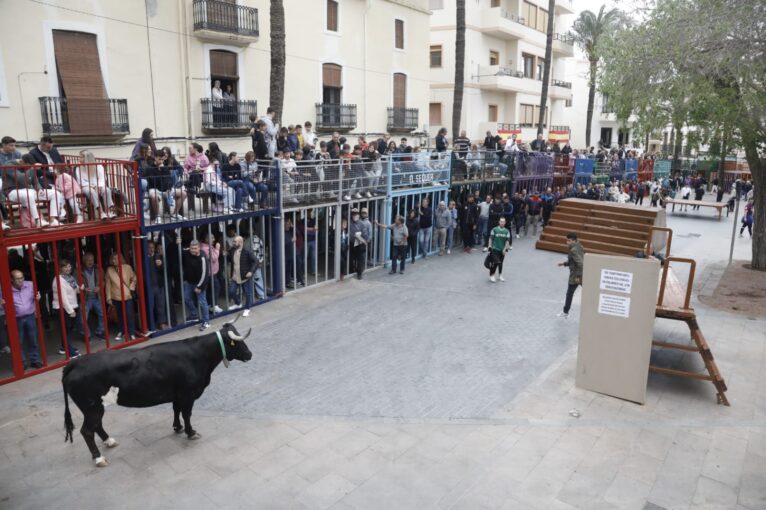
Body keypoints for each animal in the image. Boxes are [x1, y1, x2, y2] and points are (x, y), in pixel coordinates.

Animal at [63, 318, 254, 466]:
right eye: (238, 343)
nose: (250, 354)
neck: (198, 355)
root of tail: (76, 363)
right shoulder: (188, 393)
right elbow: (187, 414)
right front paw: (191, 432)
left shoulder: (177, 393)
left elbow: (176, 410)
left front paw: (177, 427)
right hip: (91, 406)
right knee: (87, 431)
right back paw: (99, 458)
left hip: (95, 406)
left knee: (96, 425)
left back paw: (109, 441)